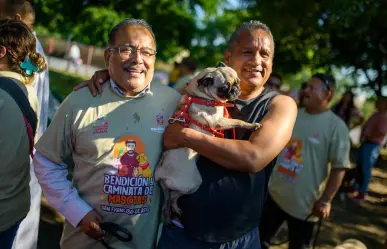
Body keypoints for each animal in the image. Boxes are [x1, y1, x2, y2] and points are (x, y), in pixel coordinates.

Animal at [156, 62, 262, 224]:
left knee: (167, 202)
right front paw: (251, 125)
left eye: (237, 81)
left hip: (167, 190)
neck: (200, 96)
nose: (236, 89)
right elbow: (238, 121)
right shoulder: (218, 121)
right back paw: (176, 208)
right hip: (193, 184)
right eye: (224, 88)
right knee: (174, 197)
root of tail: (162, 173)